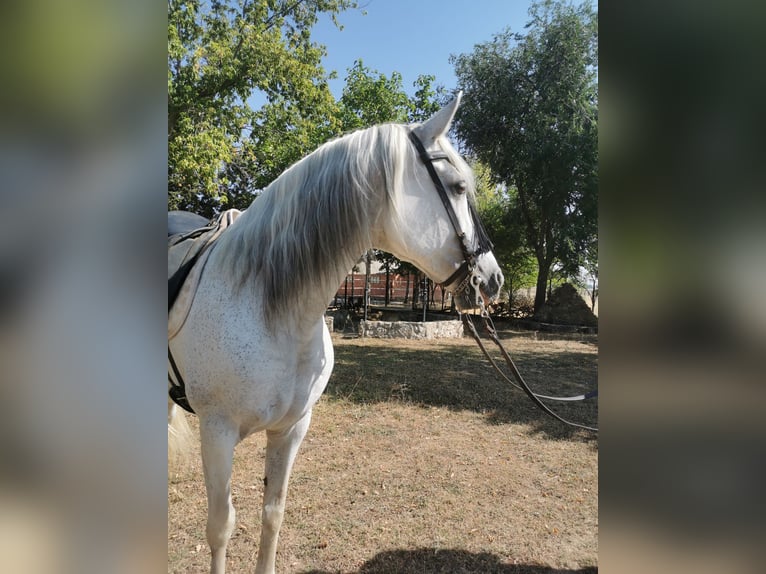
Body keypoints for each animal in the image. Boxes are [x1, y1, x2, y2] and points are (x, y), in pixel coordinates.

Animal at [168, 95, 504, 574]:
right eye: (457, 187)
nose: (492, 280)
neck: (269, 307)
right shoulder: (216, 432)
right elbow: (220, 528)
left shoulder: (291, 430)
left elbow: (273, 514)